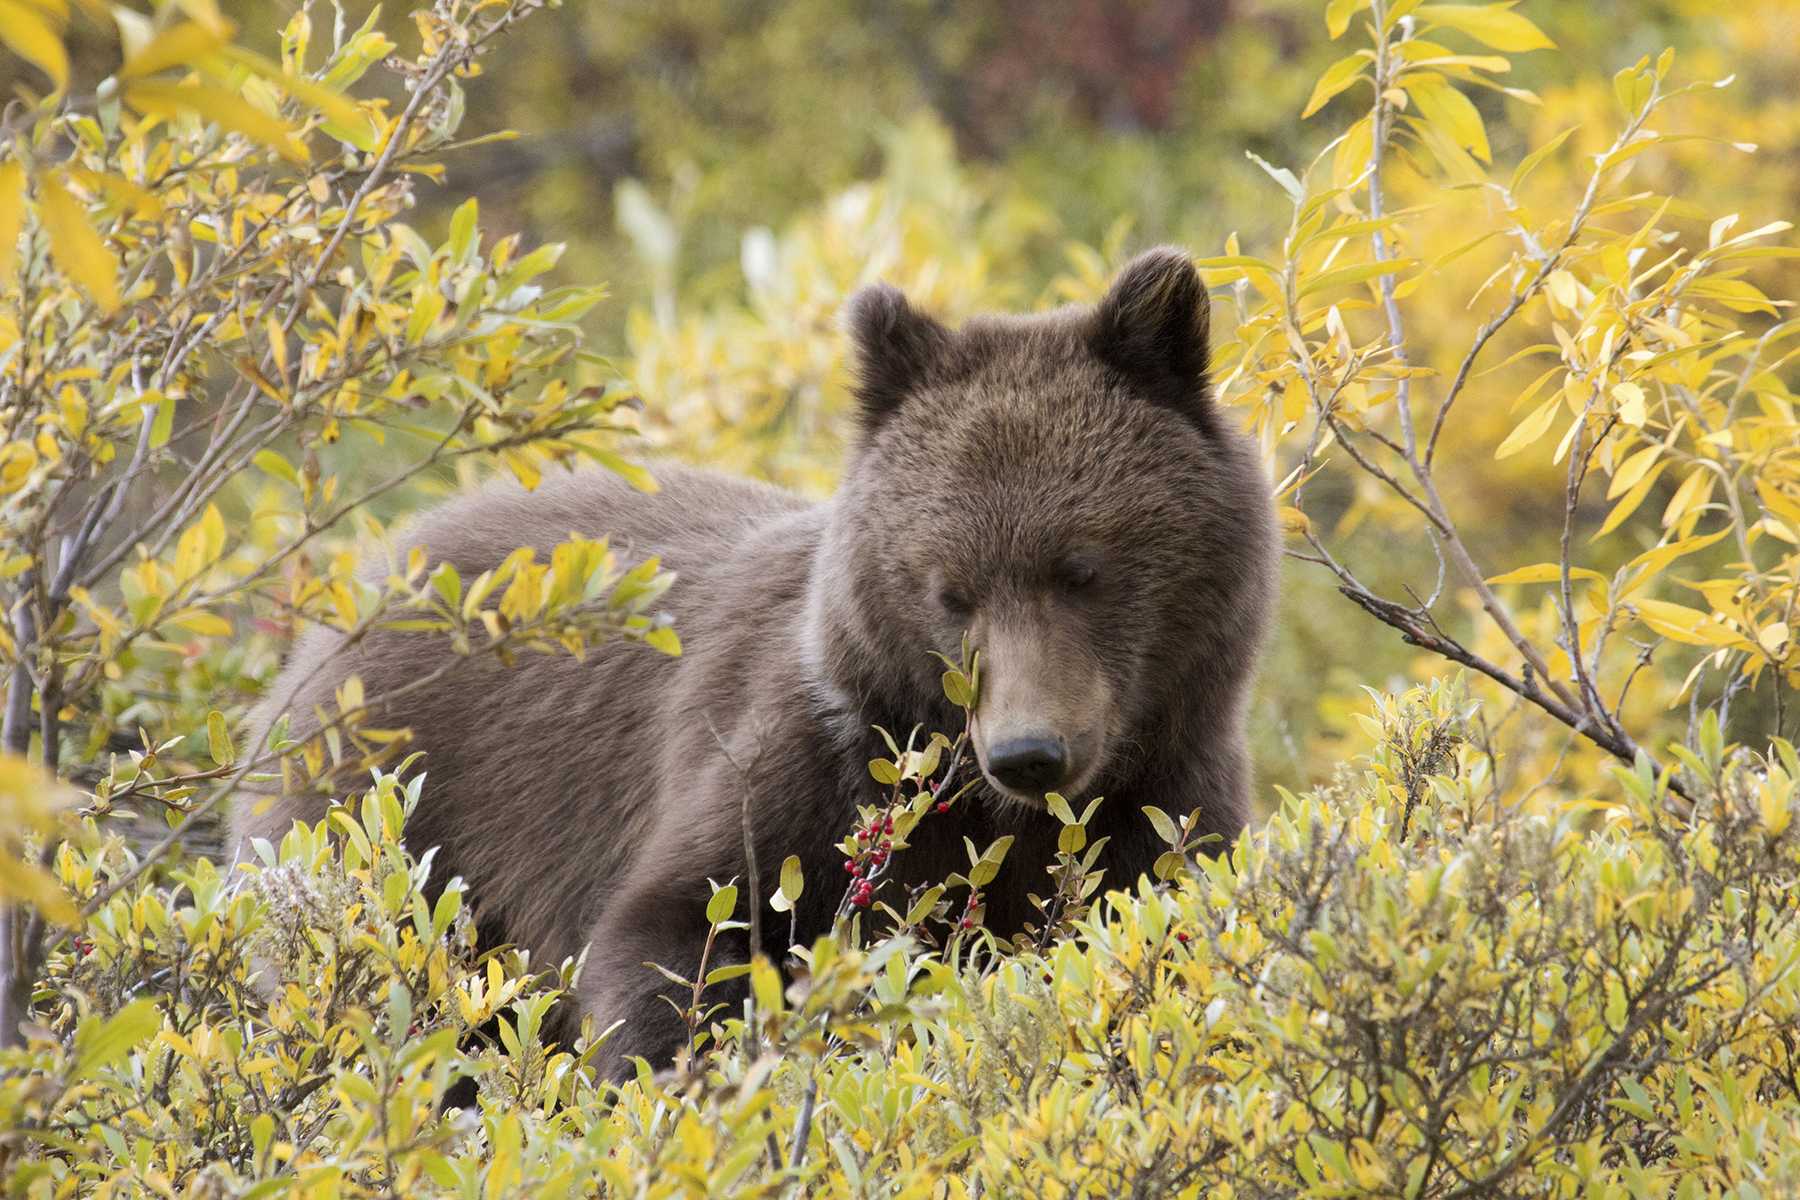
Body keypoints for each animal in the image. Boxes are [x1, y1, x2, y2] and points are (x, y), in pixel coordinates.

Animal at [232, 246, 1281, 1079]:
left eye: (1083, 569)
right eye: (950, 589)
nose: (1028, 752)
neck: (998, 818)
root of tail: (355, 593)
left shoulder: (1164, 805)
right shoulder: (810, 771)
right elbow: (681, 935)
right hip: (392, 831)